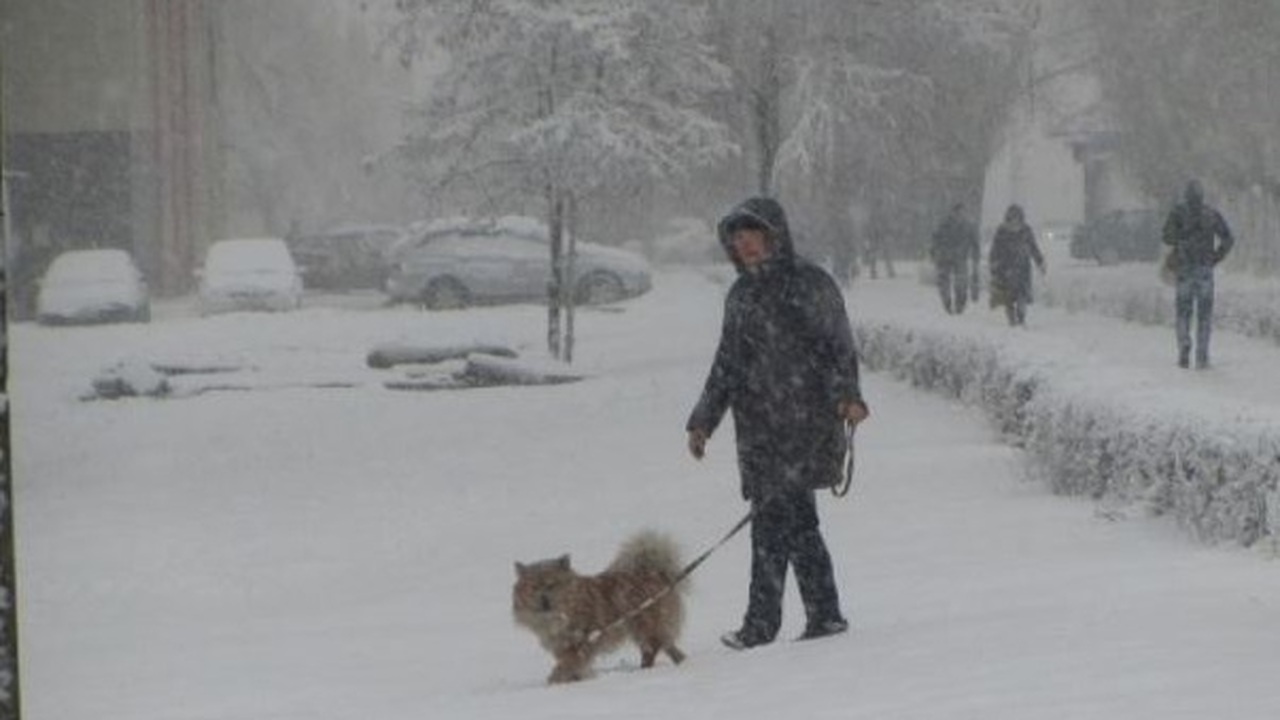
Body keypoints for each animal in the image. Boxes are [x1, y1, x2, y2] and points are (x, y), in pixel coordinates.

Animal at [512, 530, 686, 681]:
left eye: (552, 585)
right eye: (534, 587)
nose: (544, 600)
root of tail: (655, 571)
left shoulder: (581, 645)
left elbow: (567, 665)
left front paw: (555, 680)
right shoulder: (562, 647)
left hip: (643, 625)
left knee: (652, 647)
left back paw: (645, 669)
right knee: (669, 647)